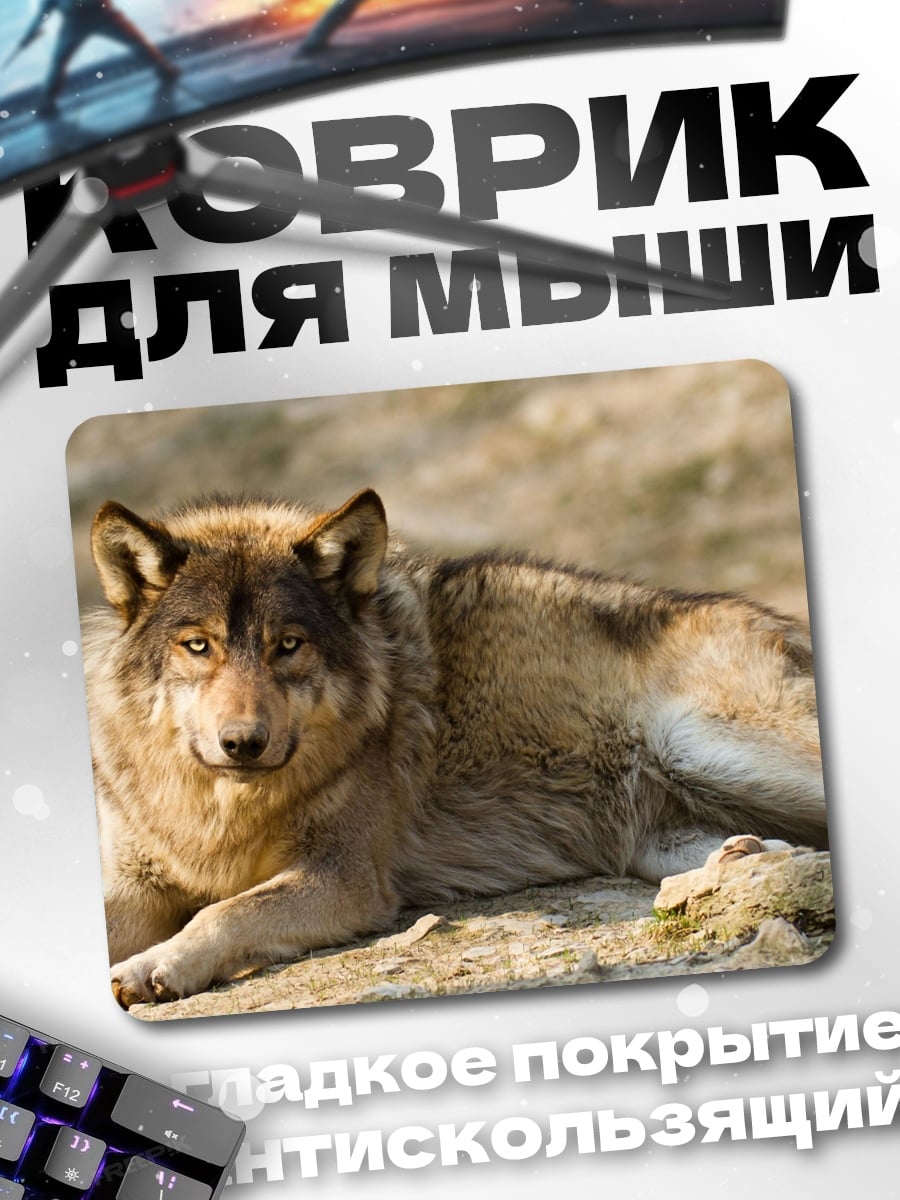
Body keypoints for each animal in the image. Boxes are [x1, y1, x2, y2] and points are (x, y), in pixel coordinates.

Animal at [82, 489, 827, 1007]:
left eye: (287, 645)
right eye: (197, 645)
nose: (242, 743)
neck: (219, 810)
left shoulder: (345, 879)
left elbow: (224, 910)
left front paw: (154, 966)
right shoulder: (135, 881)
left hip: (712, 747)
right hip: (661, 835)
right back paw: (746, 859)